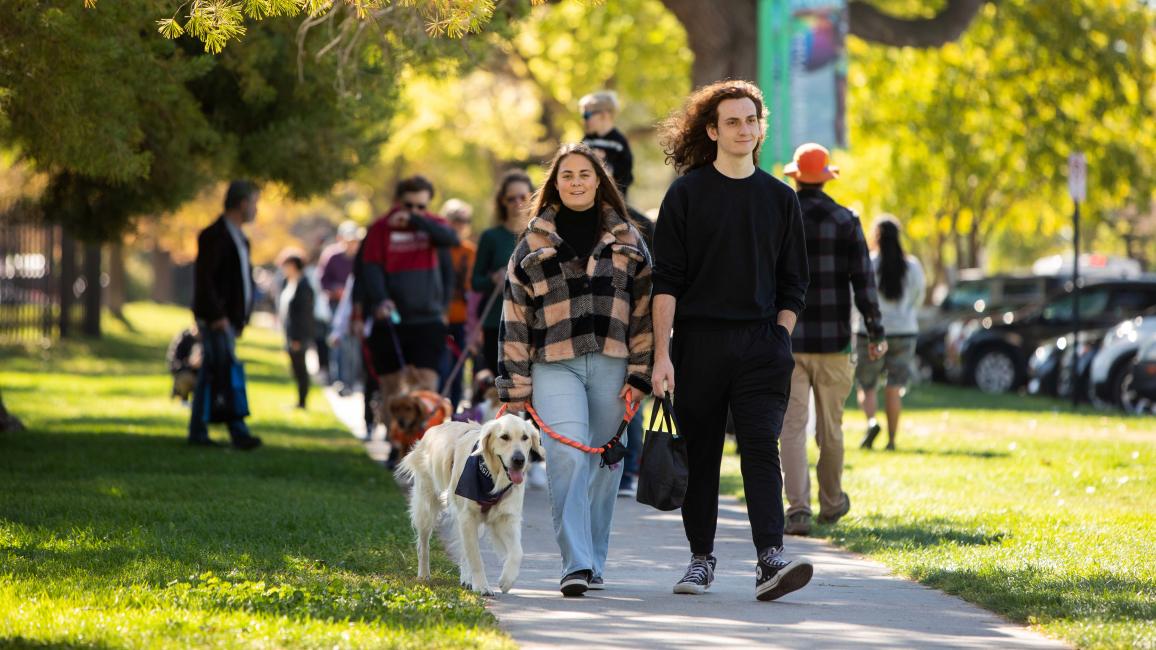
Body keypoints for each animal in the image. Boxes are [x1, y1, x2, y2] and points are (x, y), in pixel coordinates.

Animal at [397, 411, 541, 596]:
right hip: (426, 508)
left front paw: (506, 581)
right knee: (423, 545)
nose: (519, 460)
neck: (491, 477)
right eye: (504, 437)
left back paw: (466, 578)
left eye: (525, 437)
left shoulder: (505, 517)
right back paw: (423, 575)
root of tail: (434, 429)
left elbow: (517, 552)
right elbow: (476, 557)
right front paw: (482, 586)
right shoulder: (467, 517)